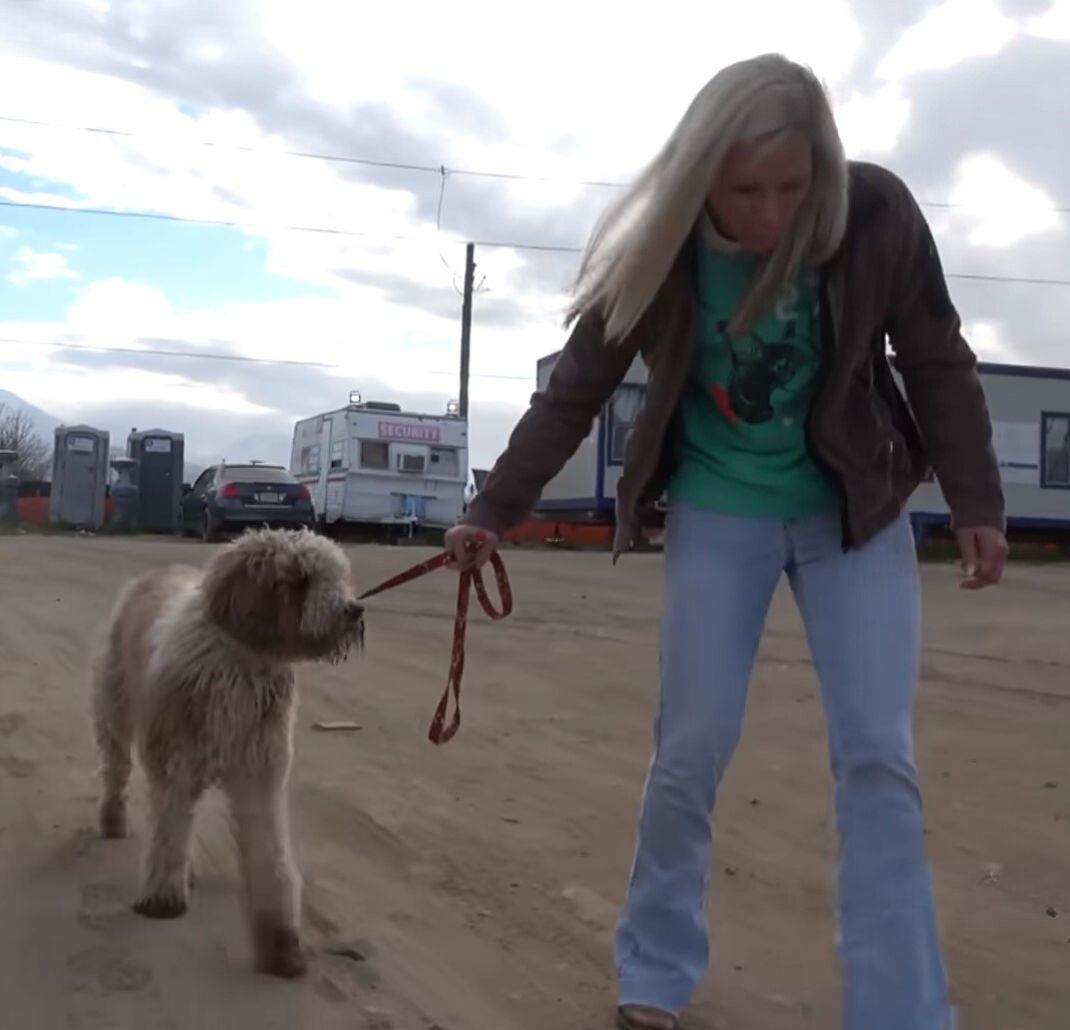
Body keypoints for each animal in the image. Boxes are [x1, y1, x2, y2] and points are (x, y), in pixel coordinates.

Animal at [88, 528, 363, 979]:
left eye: (338, 575)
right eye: (301, 577)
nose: (354, 610)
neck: (242, 664)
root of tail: (154, 574)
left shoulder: (260, 774)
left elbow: (270, 857)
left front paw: (281, 941)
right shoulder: (177, 764)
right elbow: (168, 834)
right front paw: (162, 898)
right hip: (115, 707)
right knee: (116, 770)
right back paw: (112, 819)